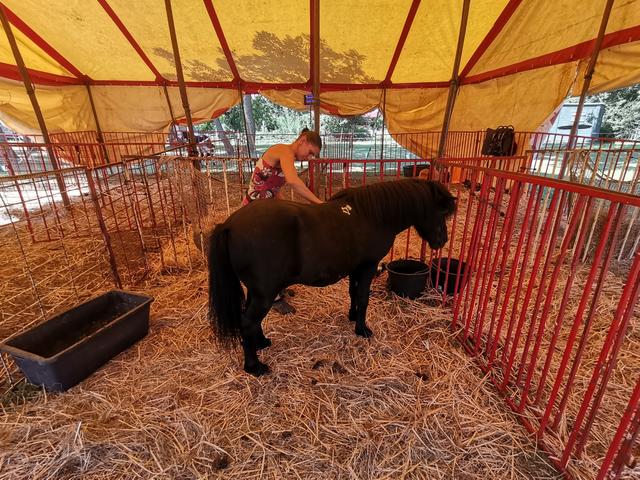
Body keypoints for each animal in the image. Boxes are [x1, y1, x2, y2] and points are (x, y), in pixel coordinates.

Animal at [208, 179, 456, 376]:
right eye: (441, 212)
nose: (442, 240)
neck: (372, 215)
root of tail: (229, 225)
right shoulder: (368, 267)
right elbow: (363, 297)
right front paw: (362, 329)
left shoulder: (356, 268)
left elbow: (354, 293)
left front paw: (353, 316)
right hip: (265, 294)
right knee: (248, 322)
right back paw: (254, 367)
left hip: (257, 291)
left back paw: (261, 343)